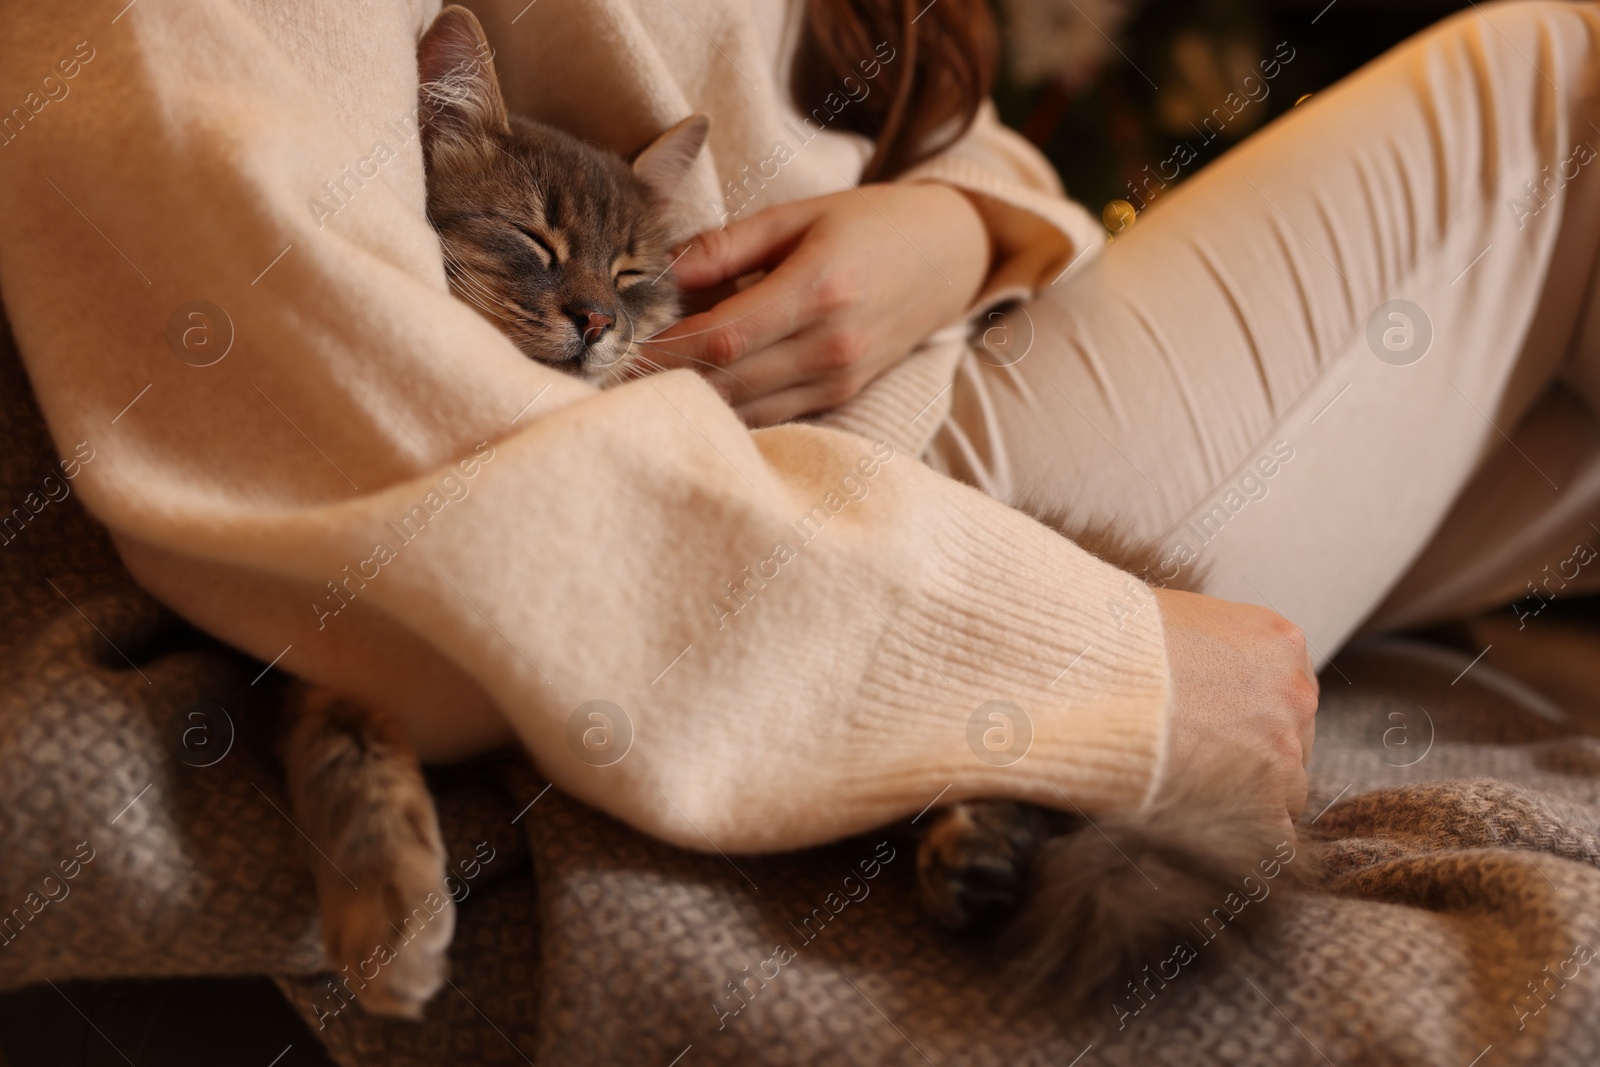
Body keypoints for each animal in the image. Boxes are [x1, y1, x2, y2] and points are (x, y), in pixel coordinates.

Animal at [284, 6, 1312, 1023]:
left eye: (629, 274)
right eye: (534, 241)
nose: (596, 323)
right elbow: (343, 732)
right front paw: (388, 910)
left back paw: (975, 854)